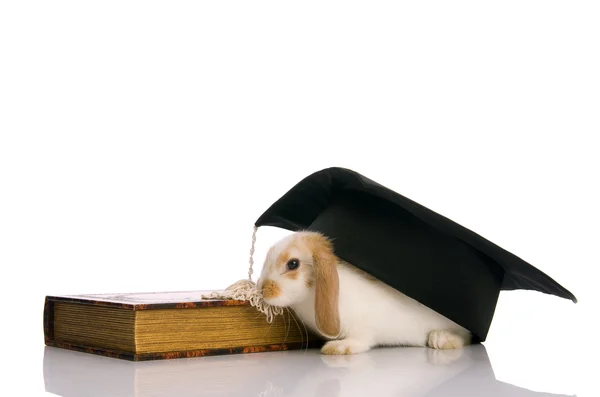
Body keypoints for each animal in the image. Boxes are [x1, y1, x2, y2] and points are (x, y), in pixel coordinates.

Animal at [255, 230, 472, 354]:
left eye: (293, 264)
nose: (262, 290)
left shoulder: (365, 327)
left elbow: (361, 340)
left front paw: (338, 348)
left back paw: (441, 339)